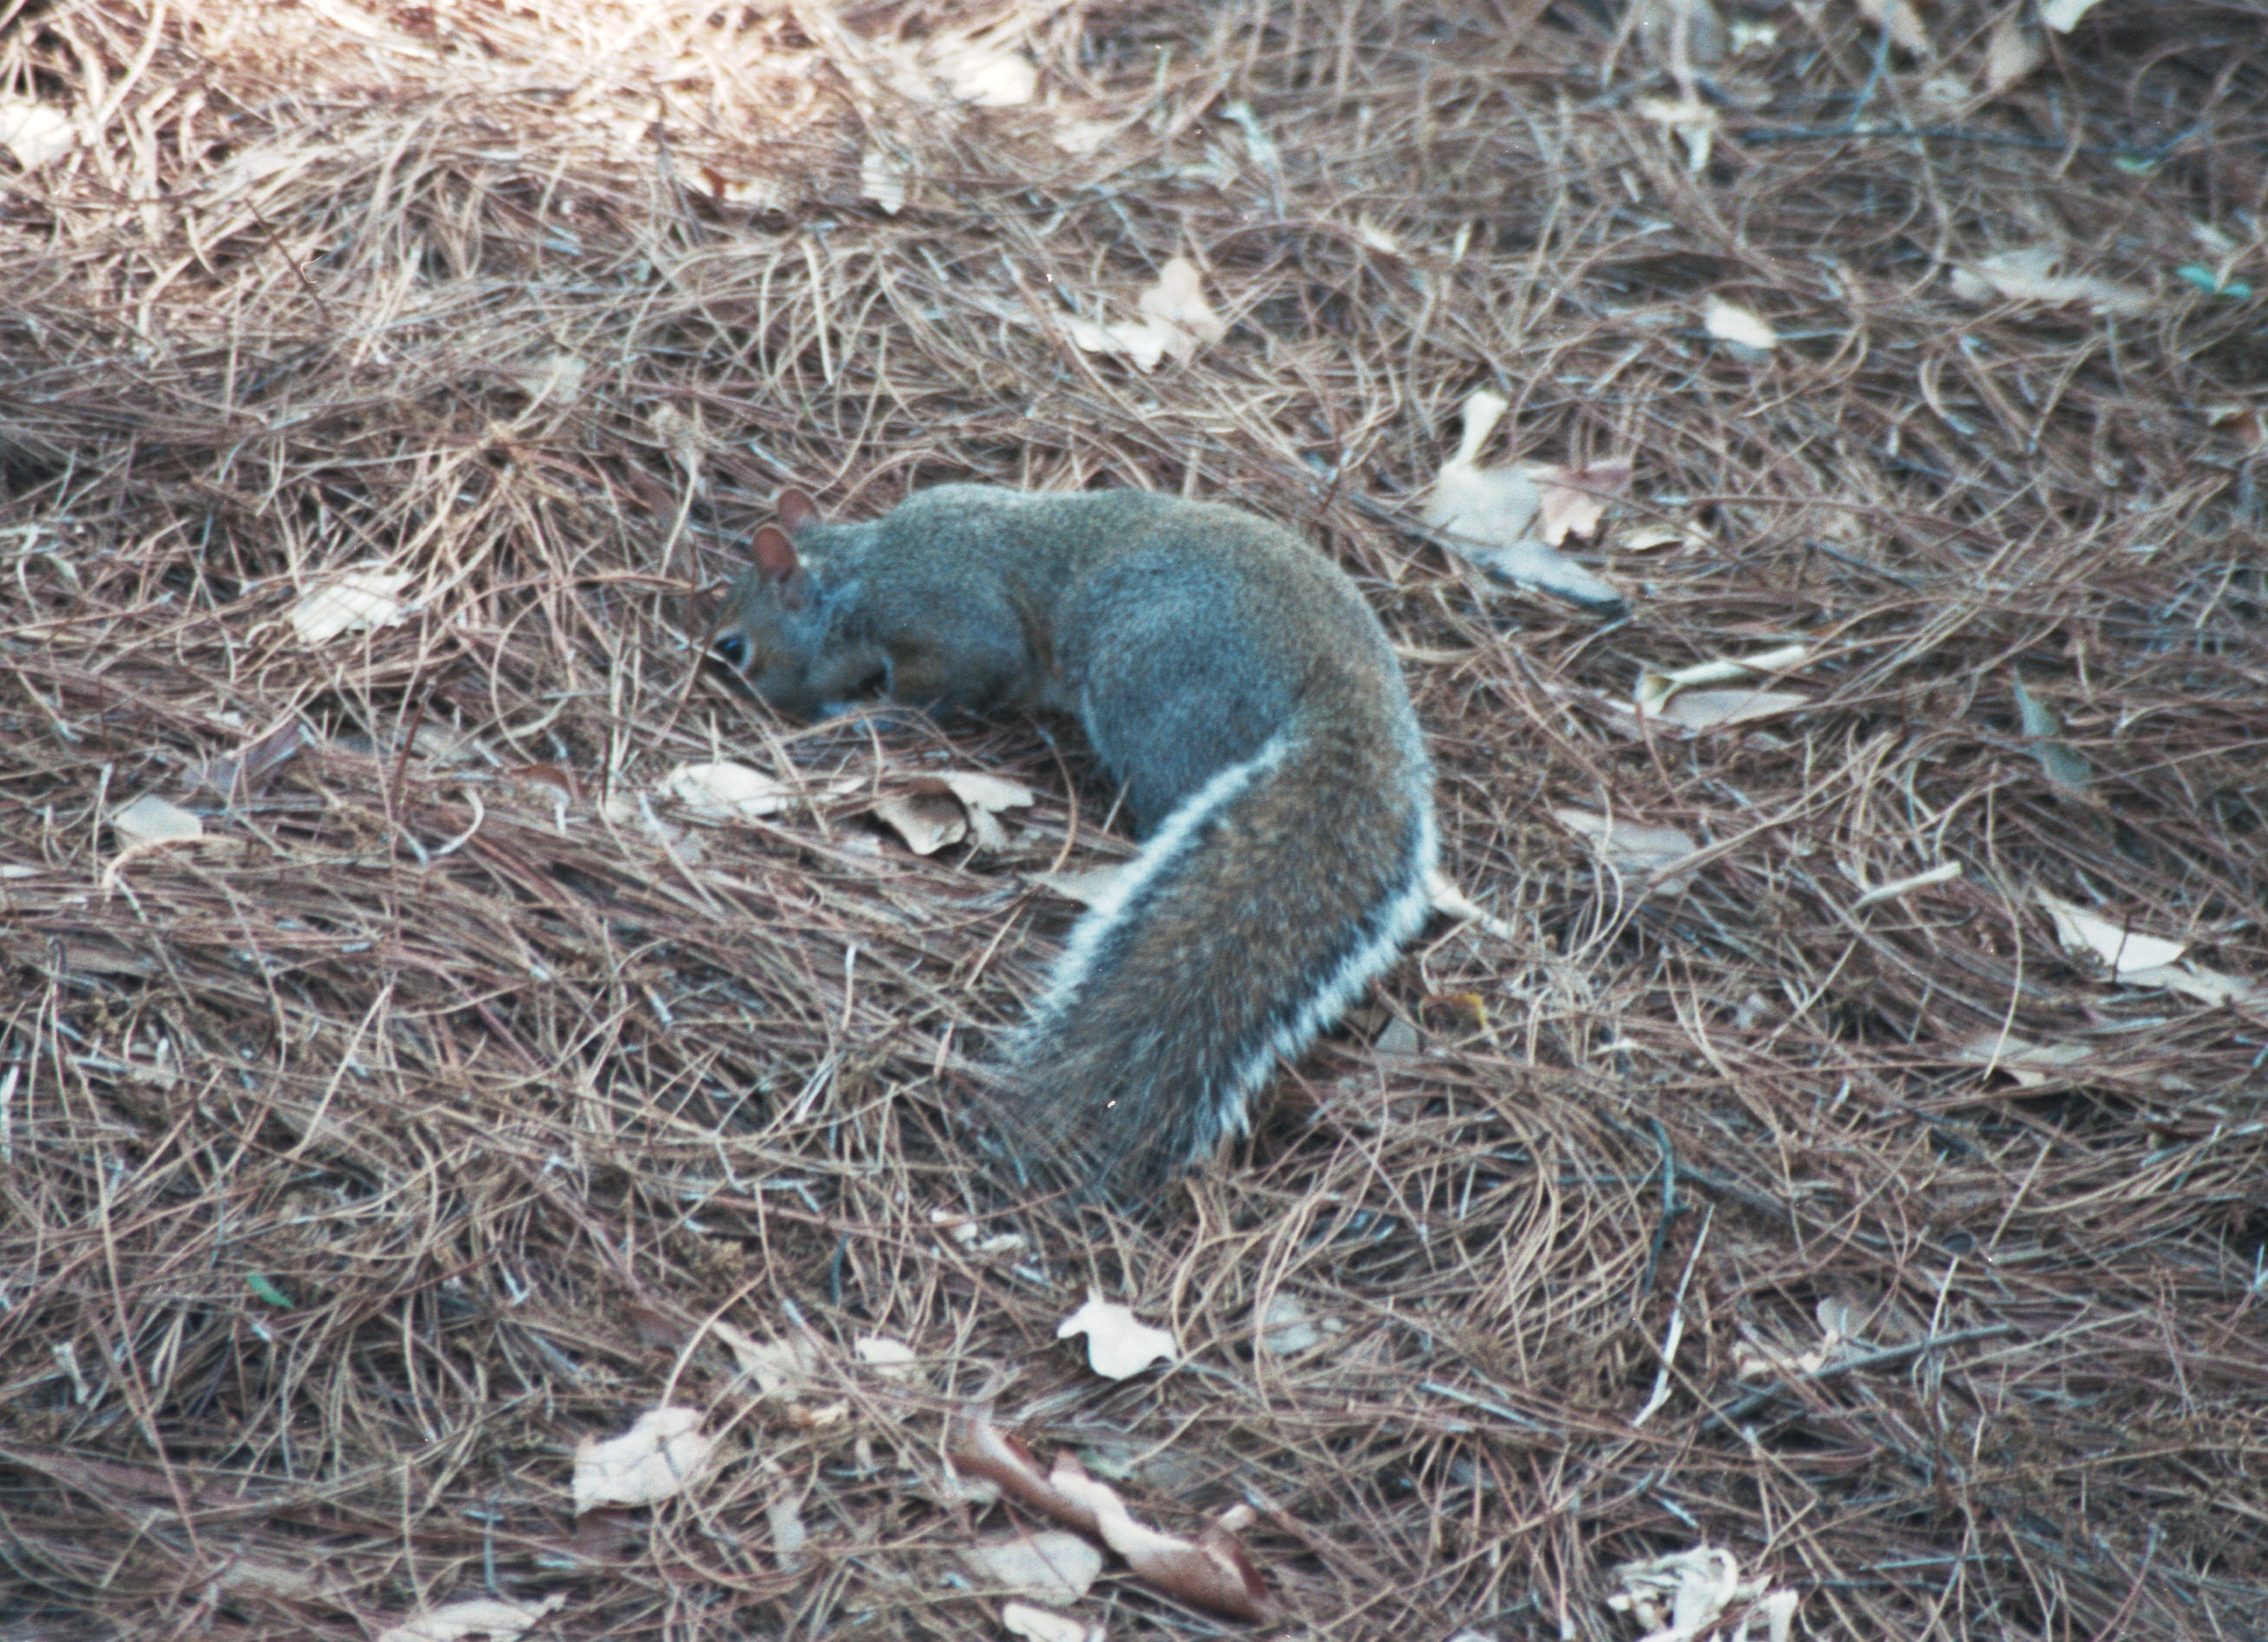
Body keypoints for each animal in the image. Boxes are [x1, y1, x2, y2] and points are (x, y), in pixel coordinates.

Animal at [711, 480, 1433, 1197]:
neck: (863, 569)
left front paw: (857, 715)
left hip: (1153, 689)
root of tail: (1349, 683)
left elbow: (938, 690)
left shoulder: (947, 625)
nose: (751, 698)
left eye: (733, 647)